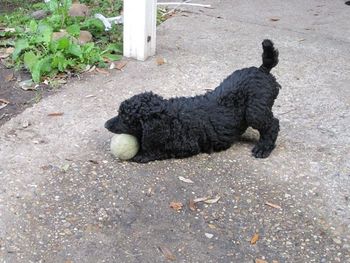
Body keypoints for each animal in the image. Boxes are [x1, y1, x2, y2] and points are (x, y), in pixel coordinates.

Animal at [105, 39, 280, 163]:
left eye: (125, 119)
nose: (106, 125)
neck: (169, 117)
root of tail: (262, 70)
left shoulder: (185, 144)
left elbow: (159, 148)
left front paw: (143, 154)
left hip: (254, 111)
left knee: (272, 124)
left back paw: (263, 148)